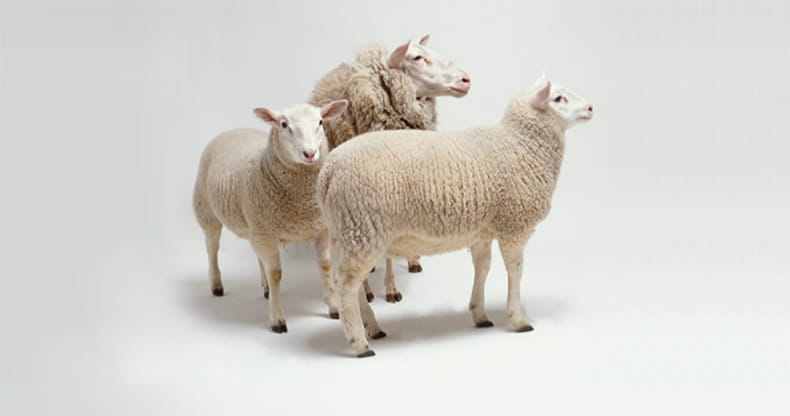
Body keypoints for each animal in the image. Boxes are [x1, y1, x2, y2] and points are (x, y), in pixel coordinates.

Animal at [193, 100, 348, 333]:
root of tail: (232, 130)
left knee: (257, 256)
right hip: (207, 211)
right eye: (283, 124)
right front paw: (277, 319)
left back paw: (264, 288)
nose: (310, 154)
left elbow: (325, 266)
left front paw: (334, 307)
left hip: (254, 225)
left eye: (320, 122)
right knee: (212, 248)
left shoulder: (321, 229)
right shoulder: (265, 233)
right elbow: (276, 274)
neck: (303, 201)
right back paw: (217, 285)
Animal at [317, 76, 594, 357]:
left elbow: (482, 268)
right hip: (364, 229)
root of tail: (328, 171)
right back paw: (360, 342)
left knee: (352, 283)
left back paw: (372, 327)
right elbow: (515, 271)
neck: (519, 143)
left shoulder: (482, 230)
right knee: (346, 285)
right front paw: (518, 318)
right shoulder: (513, 225)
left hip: (349, 233)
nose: (591, 108)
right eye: (558, 98)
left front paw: (479, 313)